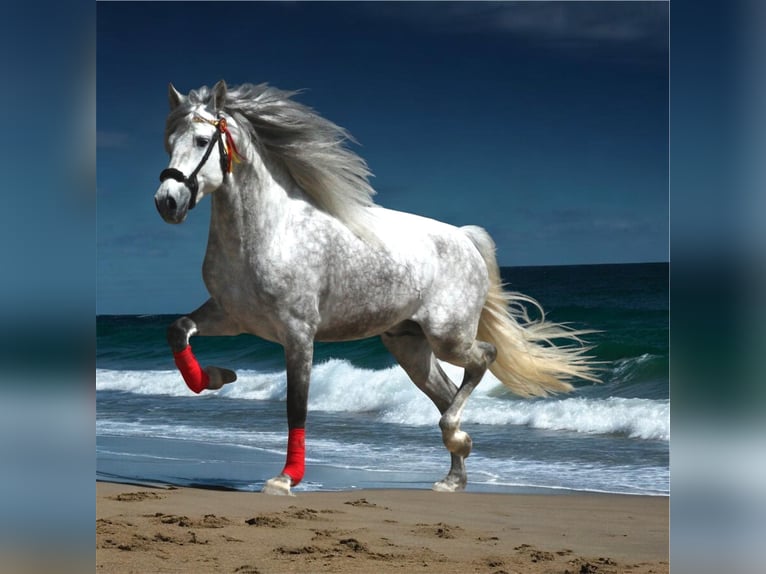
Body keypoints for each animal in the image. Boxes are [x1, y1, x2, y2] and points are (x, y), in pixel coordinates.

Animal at [154, 80, 598, 496]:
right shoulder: (231, 316)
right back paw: (453, 477)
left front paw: (285, 479)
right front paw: (216, 377)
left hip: (448, 337)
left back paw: (456, 439)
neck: (270, 232)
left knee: (483, 358)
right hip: (409, 346)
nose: (167, 202)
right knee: (447, 391)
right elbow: (177, 330)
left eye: (201, 140)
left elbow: (296, 408)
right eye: (168, 142)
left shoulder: (298, 333)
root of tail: (464, 238)